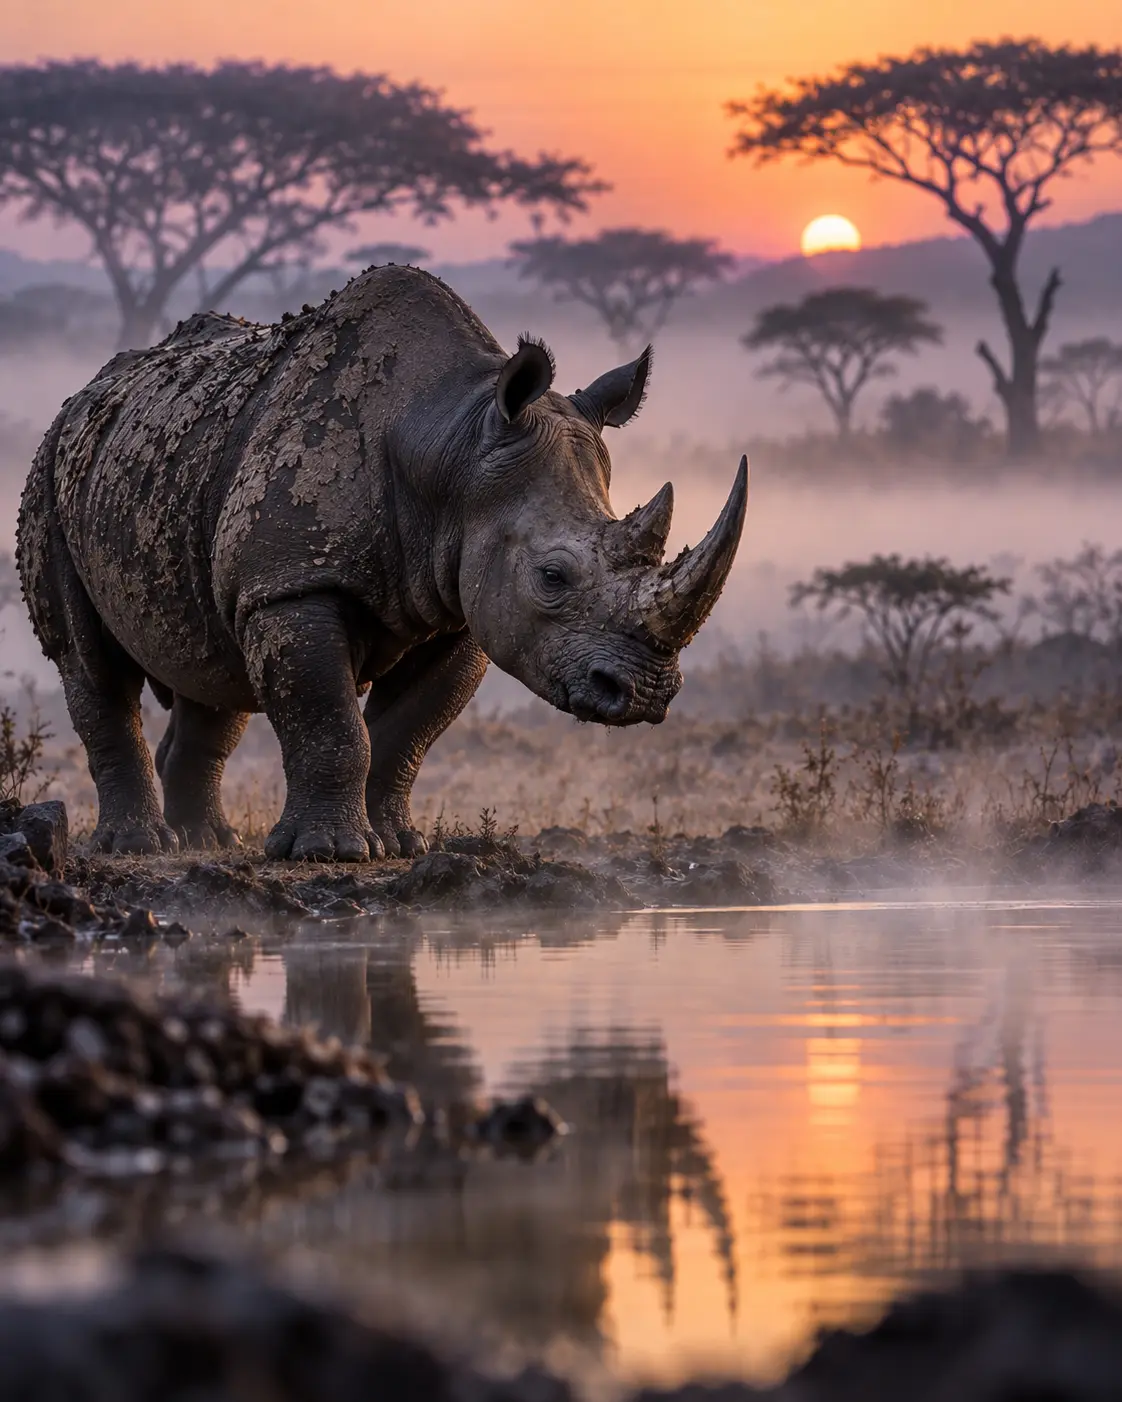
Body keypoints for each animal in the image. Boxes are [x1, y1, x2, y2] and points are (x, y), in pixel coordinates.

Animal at [17, 266, 747, 862]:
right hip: (52, 467)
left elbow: (405, 731)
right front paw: (330, 854)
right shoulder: (292, 585)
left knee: (210, 664)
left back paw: (206, 843)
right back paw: (139, 847)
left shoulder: (459, 605)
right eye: (552, 577)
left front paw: (397, 845)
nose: (645, 693)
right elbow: (332, 722)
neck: (452, 442)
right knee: (90, 661)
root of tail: (89, 390)